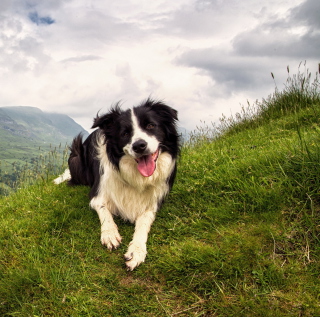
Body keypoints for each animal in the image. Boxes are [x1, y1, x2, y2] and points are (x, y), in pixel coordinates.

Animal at [53, 99, 179, 270]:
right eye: (125, 133)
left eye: (151, 125)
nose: (139, 145)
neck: (136, 177)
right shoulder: (97, 194)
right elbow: (104, 211)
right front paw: (110, 233)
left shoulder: (154, 202)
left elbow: (144, 223)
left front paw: (137, 250)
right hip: (76, 156)